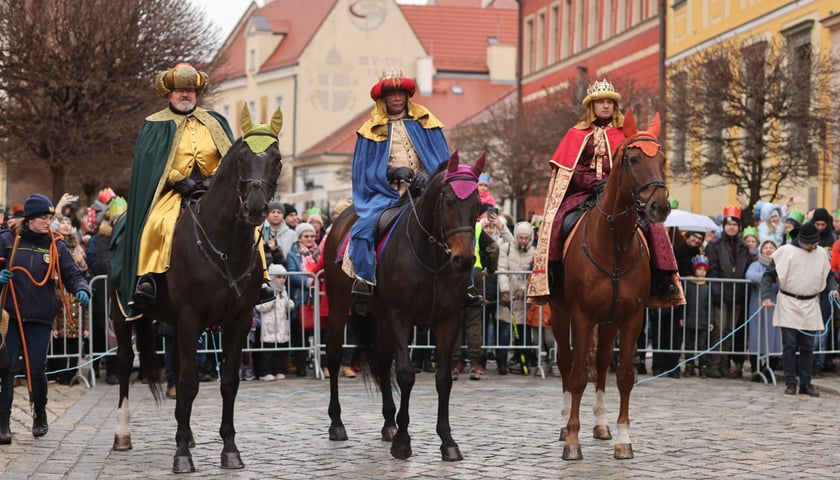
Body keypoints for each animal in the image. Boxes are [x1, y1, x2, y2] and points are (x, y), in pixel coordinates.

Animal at [111, 106, 284, 472]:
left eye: (276, 159)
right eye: (243, 157)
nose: (255, 207)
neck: (225, 243)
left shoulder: (237, 320)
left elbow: (228, 383)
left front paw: (229, 450)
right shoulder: (191, 317)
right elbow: (189, 383)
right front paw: (182, 456)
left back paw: (186, 432)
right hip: (122, 314)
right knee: (124, 362)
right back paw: (122, 434)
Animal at [324, 150, 486, 462]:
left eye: (478, 205)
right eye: (448, 201)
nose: (463, 260)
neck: (431, 257)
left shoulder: (448, 319)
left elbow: (443, 379)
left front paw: (447, 441)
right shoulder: (401, 317)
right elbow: (406, 375)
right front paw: (403, 441)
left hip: (381, 319)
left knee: (381, 360)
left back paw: (389, 422)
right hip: (339, 308)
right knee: (335, 358)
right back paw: (337, 423)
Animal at [552, 109, 668, 462]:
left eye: (662, 158)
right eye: (632, 159)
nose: (660, 207)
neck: (614, 246)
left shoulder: (631, 318)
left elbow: (626, 377)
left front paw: (623, 440)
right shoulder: (580, 316)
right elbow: (577, 376)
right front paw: (572, 441)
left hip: (607, 323)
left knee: (602, 364)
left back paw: (601, 425)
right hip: (558, 315)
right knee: (566, 362)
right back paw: (564, 424)